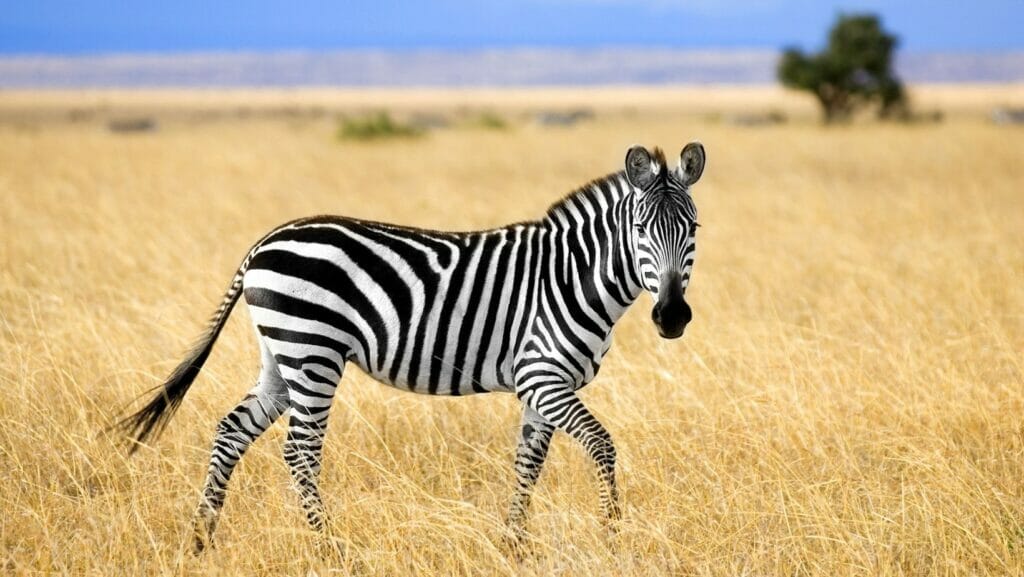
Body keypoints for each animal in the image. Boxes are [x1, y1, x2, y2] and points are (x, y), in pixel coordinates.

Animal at [115, 143, 706, 553]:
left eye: (694, 228)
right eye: (641, 228)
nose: (673, 316)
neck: (571, 275)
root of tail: (265, 241)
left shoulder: (542, 387)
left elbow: (528, 463)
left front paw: (514, 545)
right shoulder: (542, 375)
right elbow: (602, 446)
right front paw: (613, 536)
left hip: (281, 357)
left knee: (231, 431)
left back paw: (201, 538)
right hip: (314, 351)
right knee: (300, 452)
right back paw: (329, 548)